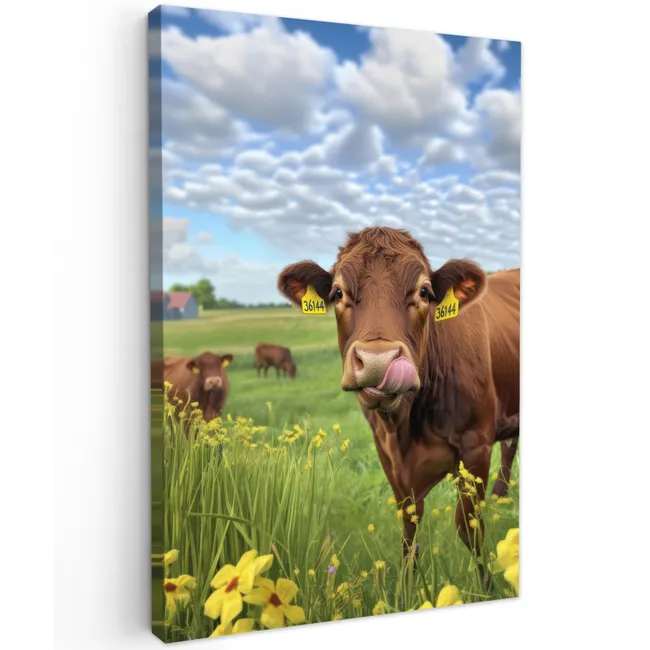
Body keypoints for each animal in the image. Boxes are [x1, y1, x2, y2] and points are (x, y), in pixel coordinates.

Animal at [278, 227, 519, 584]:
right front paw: (408, 585)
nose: (378, 361)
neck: (406, 426)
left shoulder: (476, 445)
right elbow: (409, 524)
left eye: (425, 291)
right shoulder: (387, 452)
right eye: (337, 292)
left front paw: (487, 585)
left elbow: (469, 527)